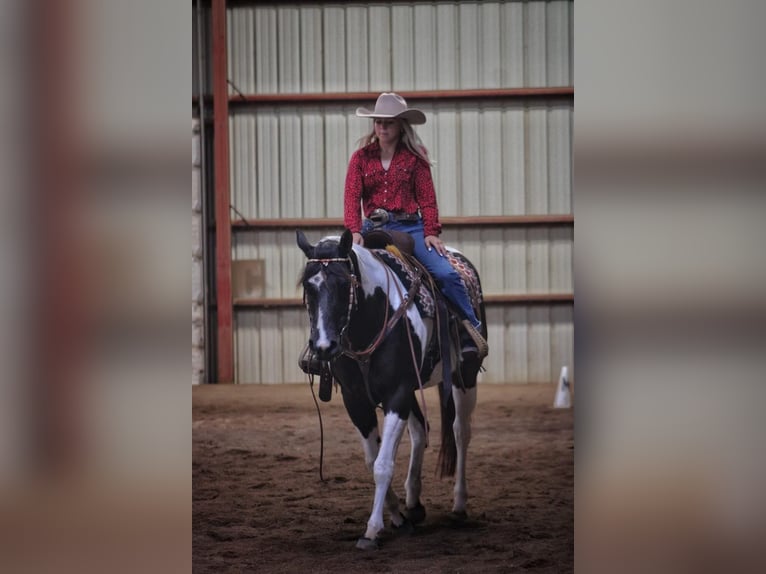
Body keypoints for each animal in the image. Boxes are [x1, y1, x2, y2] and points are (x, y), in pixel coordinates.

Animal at [296, 227, 488, 552]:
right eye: (308, 286)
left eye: (344, 283)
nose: (323, 347)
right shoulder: (356, 400)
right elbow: (372, 460)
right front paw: (398, 516)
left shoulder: (396, 393)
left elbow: (383, 465)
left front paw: (372, 530)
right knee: (421, 429)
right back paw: (414, 503)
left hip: (465, 376)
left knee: (461, 432)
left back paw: (459, 506)